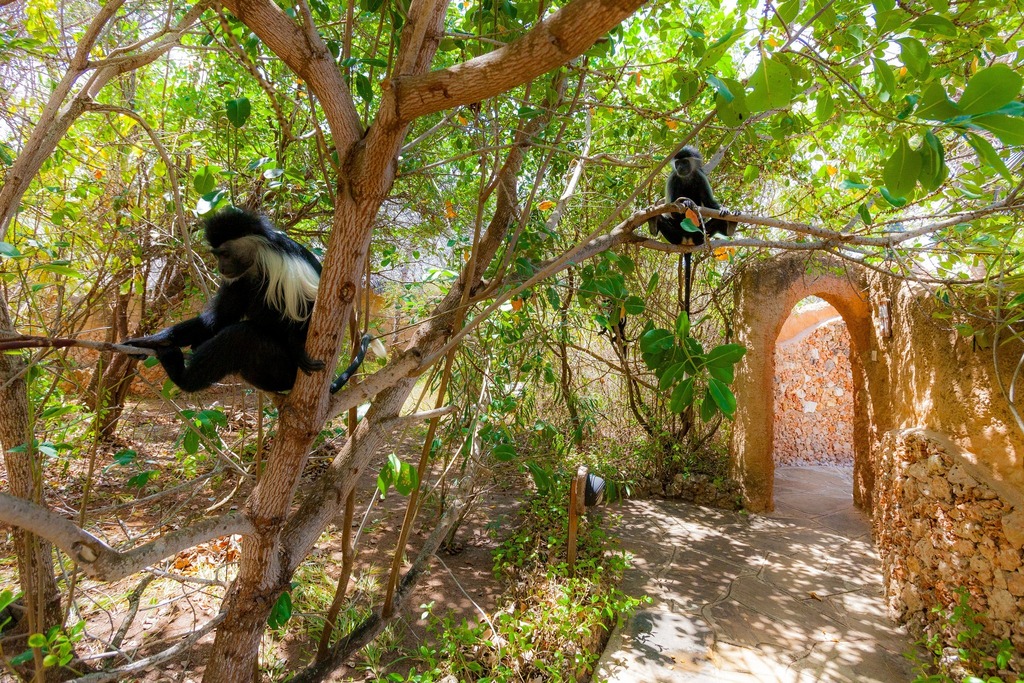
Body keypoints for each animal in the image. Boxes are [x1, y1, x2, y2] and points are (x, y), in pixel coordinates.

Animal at [124, 208, 374, 394]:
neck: (256, 261)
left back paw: (181, 376)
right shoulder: (238, 280)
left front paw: (298, 346)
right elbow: (216, 319)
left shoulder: (281, 266)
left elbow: (316, 308)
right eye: (216, 255)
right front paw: (147, 341)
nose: (220, 268)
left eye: (224, 254)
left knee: (241, 336)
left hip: (280, 366)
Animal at [648, 146, 737, 314]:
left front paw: (724, 209)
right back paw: (653, 224)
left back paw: (731, 226)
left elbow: (710, 203)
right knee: (662, 220)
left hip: (700, 236)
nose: (680, 168)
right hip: (675, 235)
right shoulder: (673, 179)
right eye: (677, 163)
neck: (686, 177)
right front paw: (686, 202)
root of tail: (687, 242)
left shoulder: (700, 177)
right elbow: (671, 207)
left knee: (716, 222)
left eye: (684, 162)